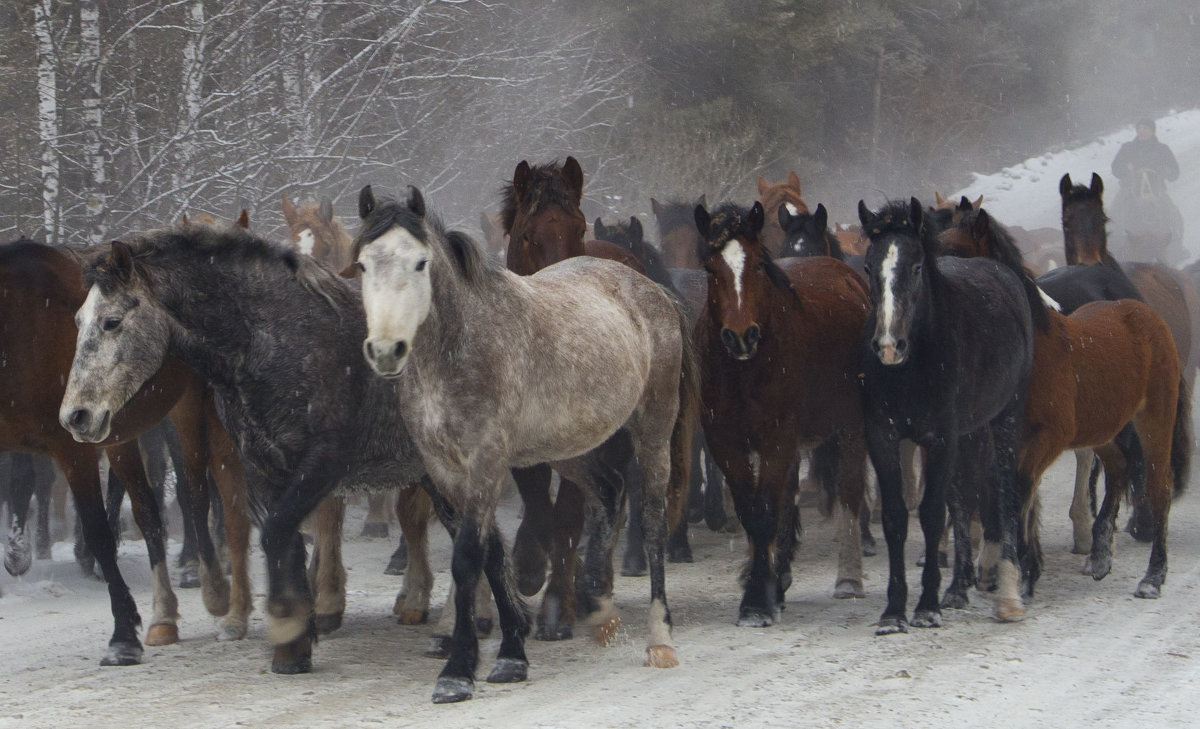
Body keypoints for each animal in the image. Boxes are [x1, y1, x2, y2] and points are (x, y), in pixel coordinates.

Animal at [59, 219, 436, 676]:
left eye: (112, 322)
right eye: (78, 320)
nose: (75, 416)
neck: (274, 340)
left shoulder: (323, 463)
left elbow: (278, 533)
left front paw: (287, 620)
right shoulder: (263, 469)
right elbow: (284, 541)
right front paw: (293, 647)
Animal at [696, 200, 873, 628]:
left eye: (760, 264)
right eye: (710, 268)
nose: (740, 336)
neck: (743, 371)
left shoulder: (777, 437)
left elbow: (765, 511)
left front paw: (757, 603)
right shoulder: (726, 442)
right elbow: (752, 511)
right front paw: (766, 586)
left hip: (851, 427)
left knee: (849, 490)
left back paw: (848, 577)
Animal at [859, 196, 1036, 628]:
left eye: (916, 266)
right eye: (869, 266)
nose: (888, 345)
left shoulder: (939, 438)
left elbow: (932, 514)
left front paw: (925, 607)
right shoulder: (883, 436)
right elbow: (898, 516)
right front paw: (894, 610)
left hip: (1006, 419)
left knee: (1005, 492)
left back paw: (1008, 595)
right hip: (969, 433)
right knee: (962, 496)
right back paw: (957, 586)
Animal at [945, 206, 1190, 597]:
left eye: (954, 248)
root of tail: (1144, 310)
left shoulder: (1049, 436)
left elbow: (1019, 491)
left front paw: (1022, 573)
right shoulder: (1001, 436)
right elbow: (1008, 492)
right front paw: (1012, 569)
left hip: (1154, 418)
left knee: (1158, 487)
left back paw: (1152, 577)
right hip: (1103, 427)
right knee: (1119, 468)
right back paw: (1100, 556)